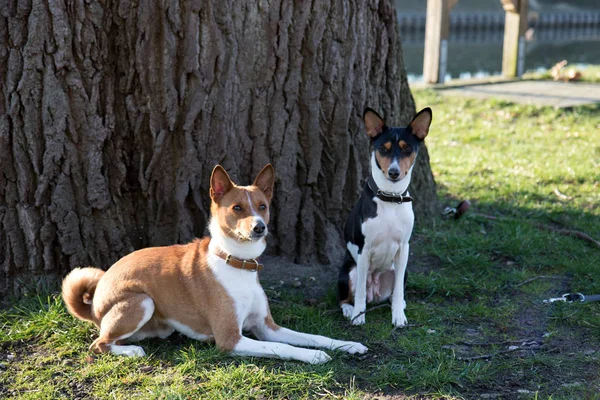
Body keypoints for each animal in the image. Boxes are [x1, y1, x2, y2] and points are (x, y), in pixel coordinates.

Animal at [63, 164, 368, 364]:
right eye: (237, 208)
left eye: (262, 206)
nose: (259, 227)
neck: (238, 264)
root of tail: (94, 303)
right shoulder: (231, 339)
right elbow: (282, 348)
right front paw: (314, 355)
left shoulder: (267, 327)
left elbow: (312, 335)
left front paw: (348, 344)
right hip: (141, 301)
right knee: (99, 344)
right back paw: (131, 352)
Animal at [338, 108, 432, 326]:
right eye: (383, 148)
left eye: (407, 149)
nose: (394, 172)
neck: (391, 197)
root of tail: (375, 291)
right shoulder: (364, 251)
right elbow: (359, 293)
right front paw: (358, 315)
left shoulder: (404, 248)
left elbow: (398, 292)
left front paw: (398, 316)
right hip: (349, 271)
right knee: (345, 297)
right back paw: (349, 309)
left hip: (400, 270)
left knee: (394, 292)